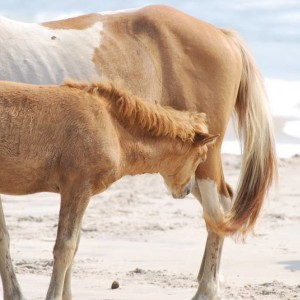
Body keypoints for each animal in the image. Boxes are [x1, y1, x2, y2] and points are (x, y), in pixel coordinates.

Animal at [0, 79, 216, 300]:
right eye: (202, 156)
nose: (186, 190)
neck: (113, 127)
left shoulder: (80, 192)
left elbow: (74, 245)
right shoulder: (77, 187)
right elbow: (66, 247)